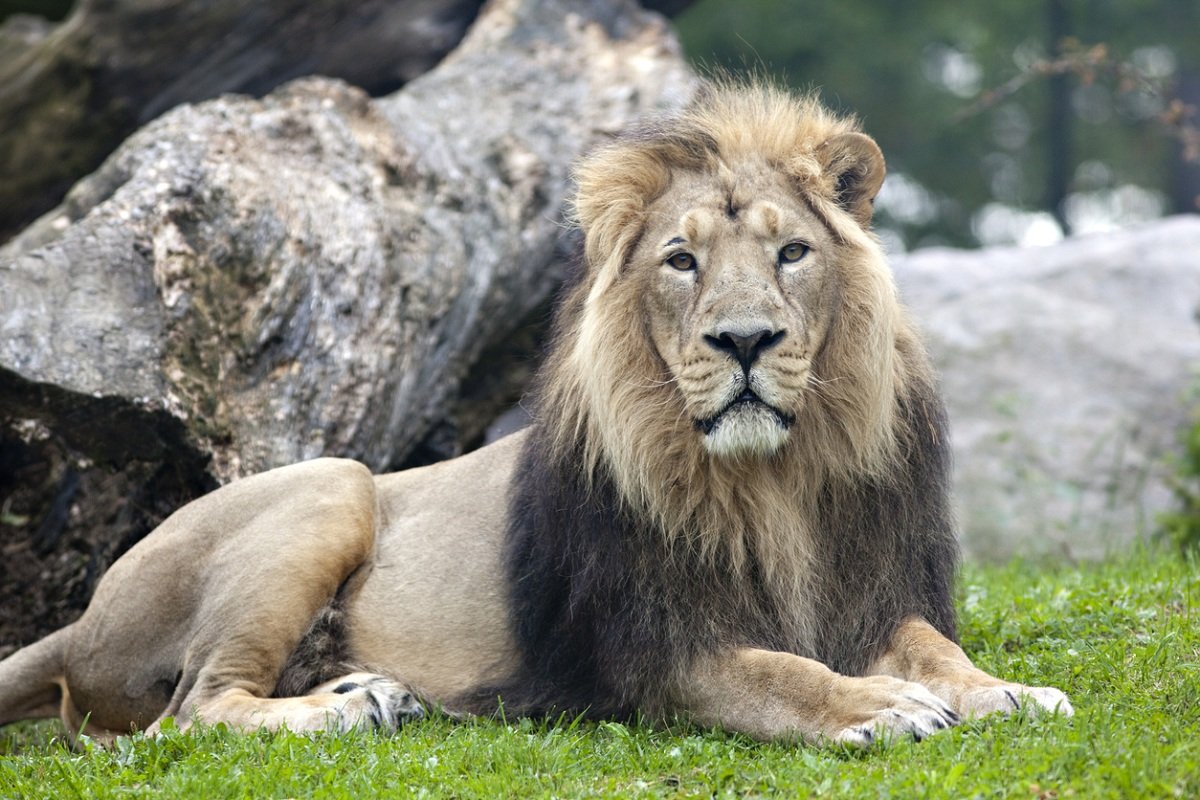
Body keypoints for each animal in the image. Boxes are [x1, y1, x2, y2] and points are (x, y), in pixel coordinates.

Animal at [0, 81, 1070, 743]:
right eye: (681, 260)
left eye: (792, 253)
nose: (745, 341)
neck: (775, 482)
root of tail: (82, 618)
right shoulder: (644, 649)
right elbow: (779, 673)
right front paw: (882, 708)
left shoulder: (870, 593)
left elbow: (938, 650)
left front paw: (1008, 691)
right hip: (330, 486)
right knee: (192, 709)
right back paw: (349, 707)